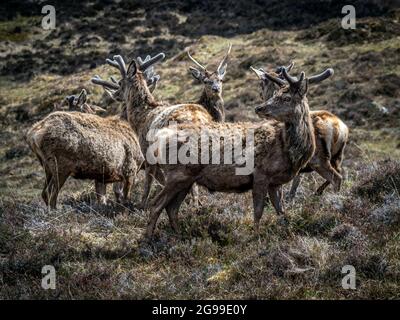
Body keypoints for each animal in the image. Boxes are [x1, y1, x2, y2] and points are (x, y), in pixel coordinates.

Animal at [252, 62, 348, 199]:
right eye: (275, 94)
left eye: (261, 83)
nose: (259, 108)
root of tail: (339, 128)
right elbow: (296, 181)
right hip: (338, 156)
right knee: (341, 174)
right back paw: (319, 192)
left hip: (319, 159)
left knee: (336, 178)